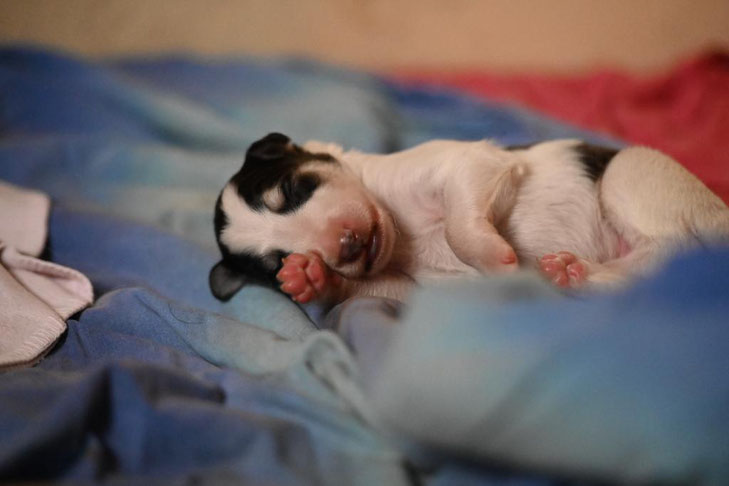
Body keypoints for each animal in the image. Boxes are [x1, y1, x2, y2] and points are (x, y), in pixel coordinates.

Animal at [206, 132, 728, 308]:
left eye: (293, 190)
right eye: (279, 260)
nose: (347, 245)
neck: (403, 238)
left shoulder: (467, 163)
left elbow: (460, 227)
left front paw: (498, 261)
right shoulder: (410, 289)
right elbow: (369, 290)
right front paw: (311, 278)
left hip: (630, 173)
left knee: (669, 245)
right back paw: (571, 273)